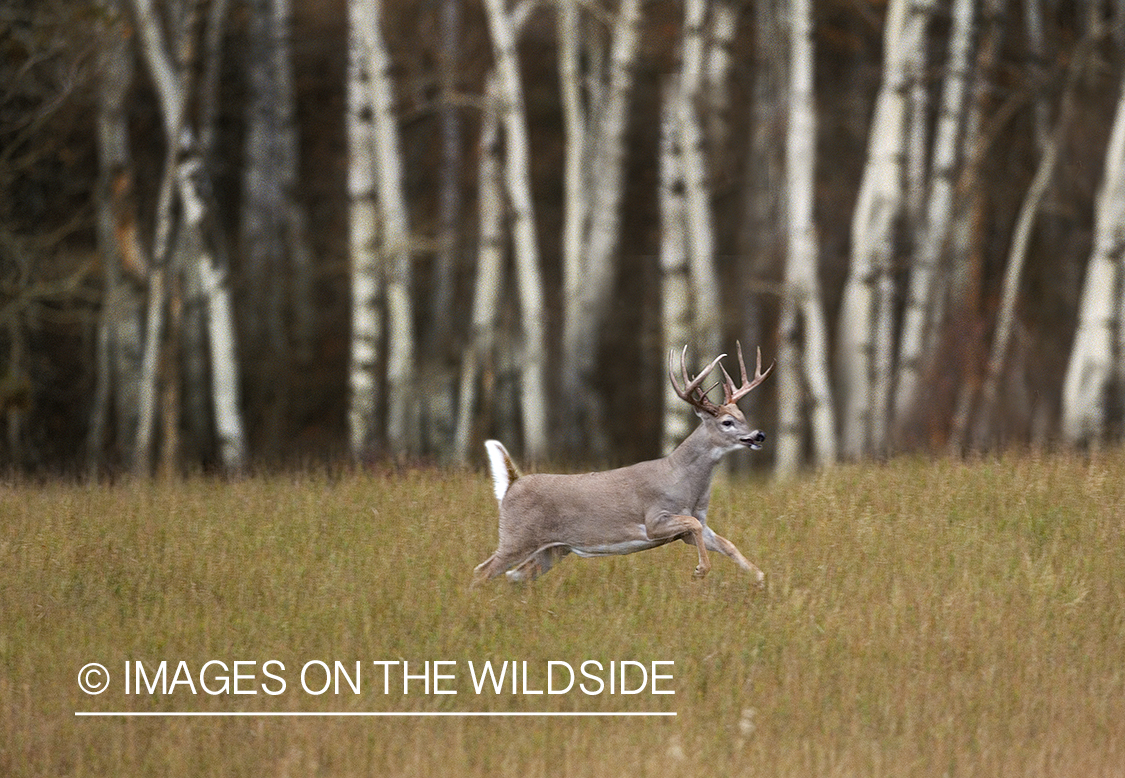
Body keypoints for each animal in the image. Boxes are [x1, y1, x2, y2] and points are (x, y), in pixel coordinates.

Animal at [473, 343, 772, 586]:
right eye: (727, 422)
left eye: (742, 414)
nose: (759, 434)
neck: (685, 482)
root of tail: (512, 483)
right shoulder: (654, 519)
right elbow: (693, 526)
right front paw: (701, 570)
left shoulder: (697, 522)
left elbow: (727, 543)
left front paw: (760, 579)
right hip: (516, 537)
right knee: (482, 571)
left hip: (553, 549)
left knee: (514, 576)